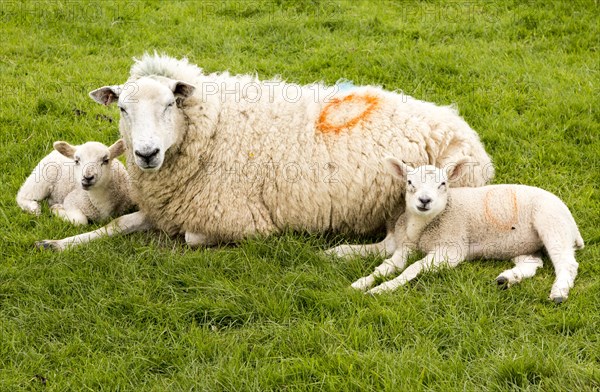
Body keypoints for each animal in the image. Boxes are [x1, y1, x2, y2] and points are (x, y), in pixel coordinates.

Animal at [342, 157, 584, 304]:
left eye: (443, 184)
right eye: (409, 182)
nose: (424, 200)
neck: (424, 225)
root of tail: (572, 223)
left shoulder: (451, 249)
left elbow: (412, 268)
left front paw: (382, 289)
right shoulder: (406, 245)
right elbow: (386, 266)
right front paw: (360, 282)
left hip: (552, 224)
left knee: (567, 262)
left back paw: (559, 293)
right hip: (523, 244)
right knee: (532, 263)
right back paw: (507, 278)